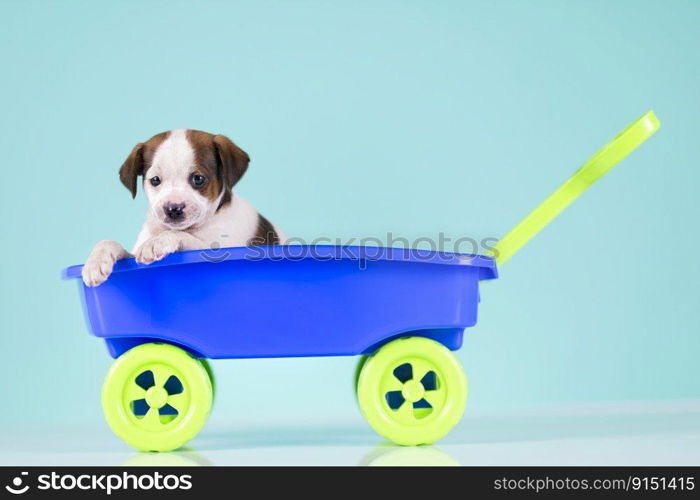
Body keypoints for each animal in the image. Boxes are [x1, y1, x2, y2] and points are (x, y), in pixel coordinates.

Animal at [79, 129, 282, 288]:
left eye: (198, 179)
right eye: (155, 180)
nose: (173, 209)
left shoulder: (219, 250)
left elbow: (179, 234)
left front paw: (156, 242)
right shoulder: (132, 254)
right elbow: (109, 242)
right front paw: (95, 262)